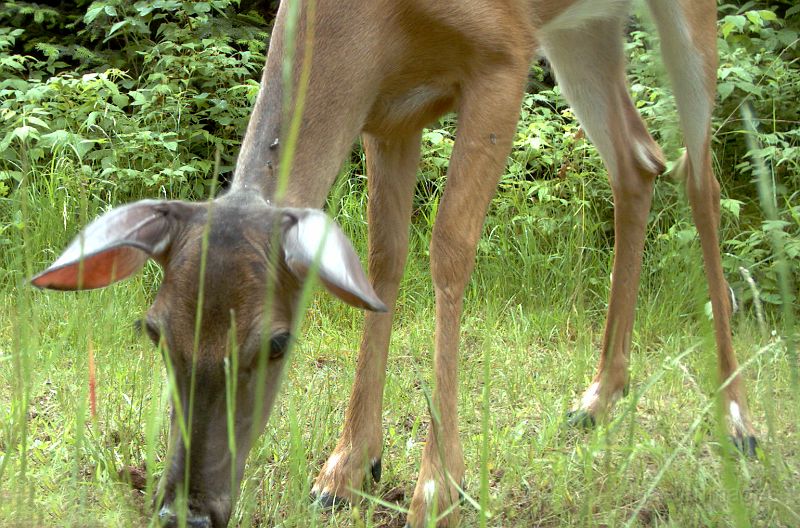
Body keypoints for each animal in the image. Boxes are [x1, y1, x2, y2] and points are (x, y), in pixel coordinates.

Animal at [32, 0, 756, 524]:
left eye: (277, 342)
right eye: (154, 331)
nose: (187, 513)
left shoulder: (503, 56)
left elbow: (450, 251)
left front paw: (439, 486)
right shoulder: (389, 113)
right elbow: (382, 263)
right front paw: (345, 469)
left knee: (700, 176)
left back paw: (738, 417)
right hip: (587, 28)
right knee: (637, 160)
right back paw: (599, 395)